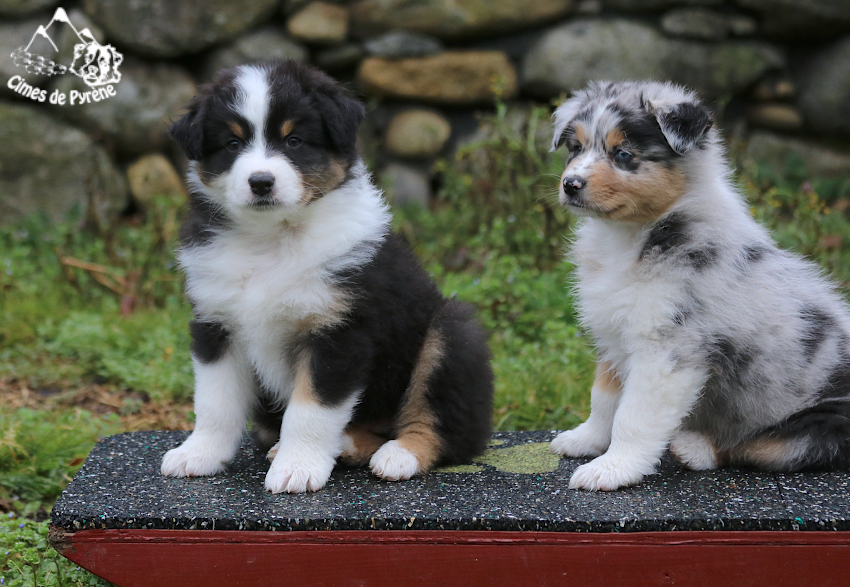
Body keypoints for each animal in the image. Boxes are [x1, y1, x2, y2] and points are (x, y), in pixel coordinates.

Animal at [160, 61, 493, 493]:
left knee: (444, 427)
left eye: (295, 141)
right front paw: (198, 454)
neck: (271, 238)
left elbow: (311, 409)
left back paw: (398, 455)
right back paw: (343, 445)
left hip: (451, 333)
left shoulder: (338, 330)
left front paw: (297, 468)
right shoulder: (216, 323)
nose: (261, 182)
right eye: (232, 144)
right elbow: (215, 402)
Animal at [549, 80, 850, 491]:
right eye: (575, 148)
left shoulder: (669, 348)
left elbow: (634, 415)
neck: (631, 235)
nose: (570, 185)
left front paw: (612, 469)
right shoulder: (614, 332)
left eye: (624, 154)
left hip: (825, 422)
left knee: (765, 446)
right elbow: (604, 397)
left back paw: (695, 446)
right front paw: (586, 439)